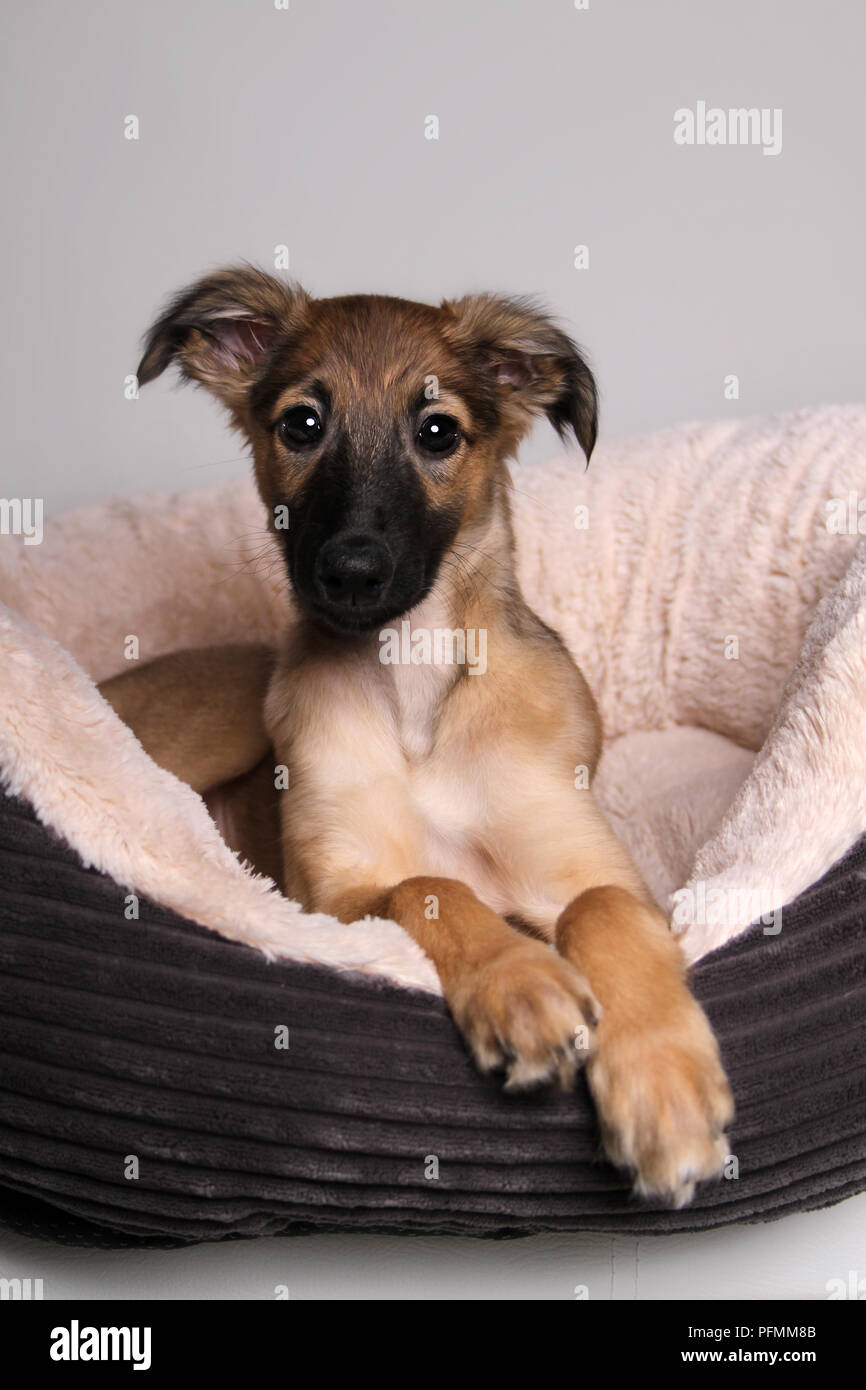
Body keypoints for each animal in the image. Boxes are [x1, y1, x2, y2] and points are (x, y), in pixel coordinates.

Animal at [104, 268, 733, 1206]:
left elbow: (604, 906)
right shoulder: (328, 902)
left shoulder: (599, 870)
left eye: (439, 431)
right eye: (302, 424)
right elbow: (430, 885)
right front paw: (518, 985)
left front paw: (666, 1088)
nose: (352, 572)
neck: (414, 691)